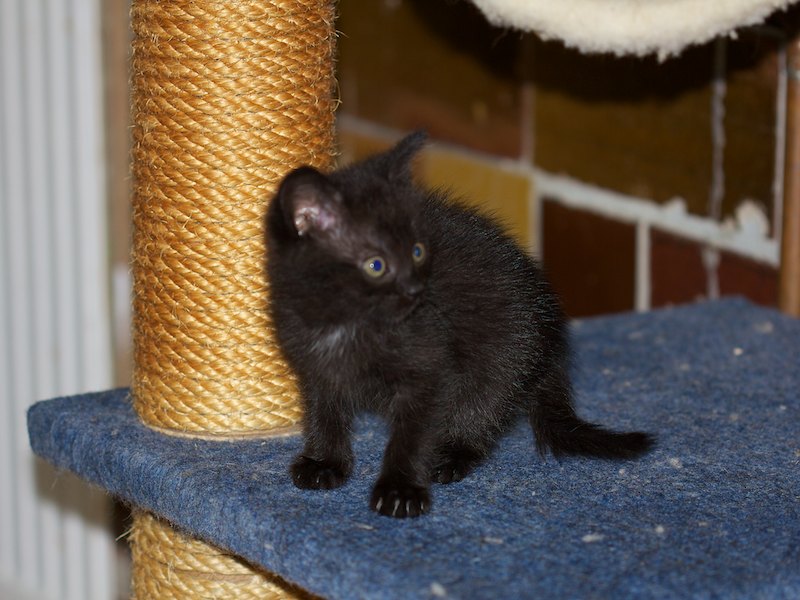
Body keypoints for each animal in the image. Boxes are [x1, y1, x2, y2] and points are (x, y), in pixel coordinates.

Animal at [265, 131, 654, 518]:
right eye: (376, 265)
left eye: (418, 251)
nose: (416, 289)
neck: (347, 322)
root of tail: (551, 341)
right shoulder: (315, 367)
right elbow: (323, 413)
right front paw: (325, 462)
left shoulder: (431, 368)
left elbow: (412, 434)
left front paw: (400, 489)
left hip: (507, 351)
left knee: (483, 405)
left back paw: (452, 453)